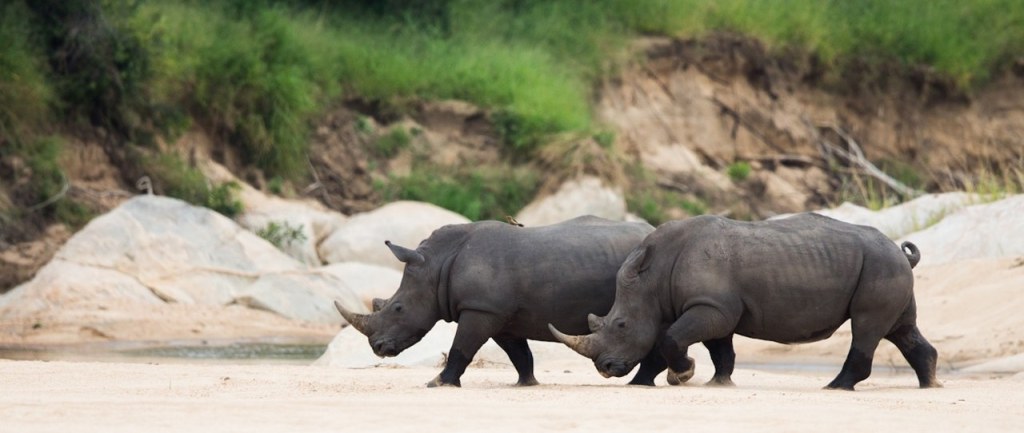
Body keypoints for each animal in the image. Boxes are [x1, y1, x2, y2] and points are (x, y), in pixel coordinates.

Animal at [334, 216, 662, 387]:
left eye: (398, 308)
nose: (378, 348)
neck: (436, 266)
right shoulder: (500, 315)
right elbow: (519, 354)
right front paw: (527, 384)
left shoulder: (480, 308)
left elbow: (461, 347)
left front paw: (438, 382)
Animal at [550, 213, 940, 390]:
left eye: (621, 325)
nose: (604, 367)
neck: (654, 277)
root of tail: (901, 252)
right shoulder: (715, 307)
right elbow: (720, 349)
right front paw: (716, 382)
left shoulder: (710, 307)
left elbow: (672, 338)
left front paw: (684, 375)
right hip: (886, 266)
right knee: (900, 328)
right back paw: (930, 385)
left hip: (880, 265)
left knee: (867, 327)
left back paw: (835, 387)